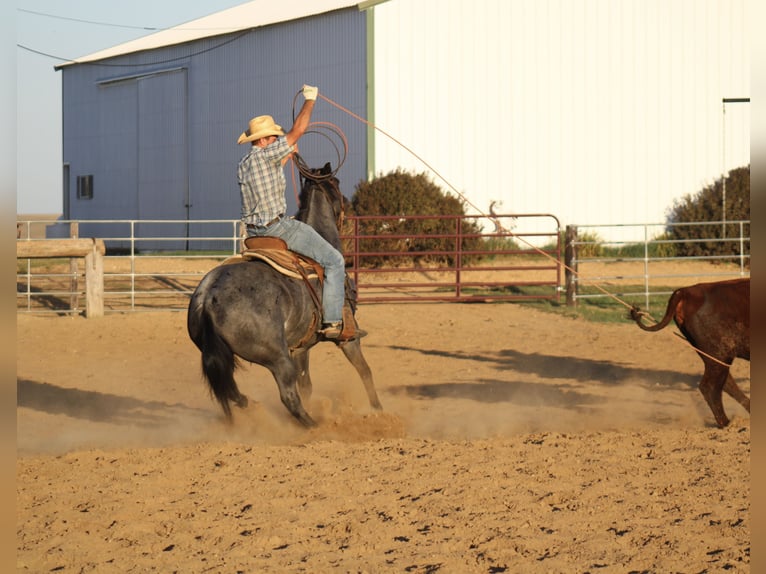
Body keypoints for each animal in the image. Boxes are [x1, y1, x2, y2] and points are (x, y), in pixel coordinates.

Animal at [188, 162, 384, 428]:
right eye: (337, 184)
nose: (348, 205)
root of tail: (208, 297)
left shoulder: (301, 347)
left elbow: (307, 385)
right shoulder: (348, 338)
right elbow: (364, 370)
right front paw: (378, 409)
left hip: (216, 355)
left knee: (232, 393)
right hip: (277, 358)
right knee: (288, 395)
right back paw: (314, 426)